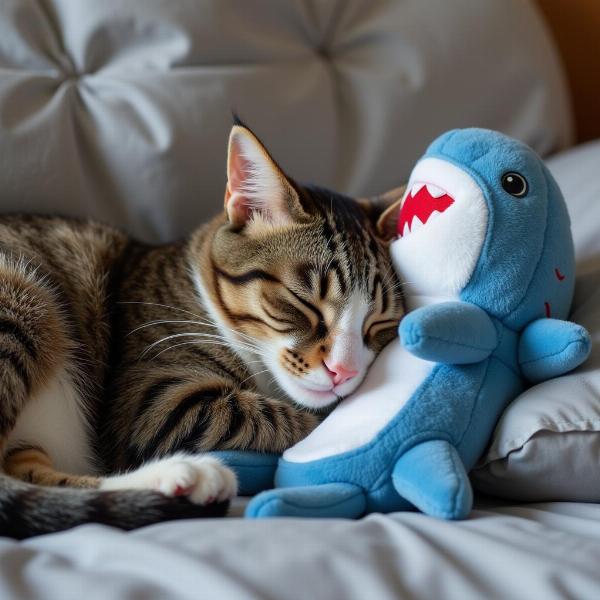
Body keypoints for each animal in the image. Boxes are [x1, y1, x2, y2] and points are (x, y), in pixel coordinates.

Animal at [0, 118, 406, 540]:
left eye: (380, 322)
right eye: (302, 300)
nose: (344, 370)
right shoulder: (154, 396)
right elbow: (289, 418)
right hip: (23, 300)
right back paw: (187, 474)